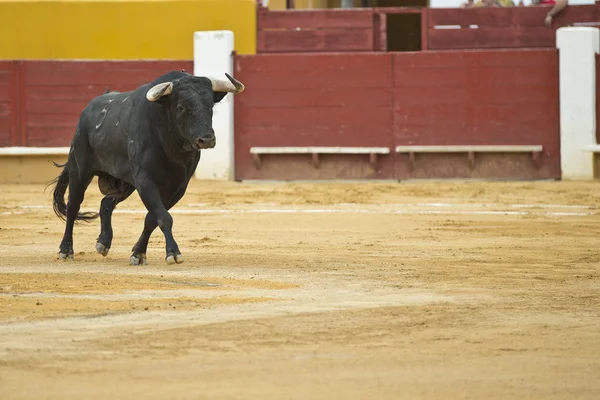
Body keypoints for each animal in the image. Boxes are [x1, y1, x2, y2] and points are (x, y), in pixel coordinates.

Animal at [49, 71, 245, 266]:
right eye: (181, 107)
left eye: (210, 105)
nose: (206, 140)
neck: (172, 145)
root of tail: (87, 111)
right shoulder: (145, 181)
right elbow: (164, 217)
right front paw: (173, 253)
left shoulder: (177, 188)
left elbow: (152, 218)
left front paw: (139, 253)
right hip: (80, 170)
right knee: (73, 206)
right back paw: (66, 250)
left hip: (125, 183)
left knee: (106, 203)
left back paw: (103, 242)